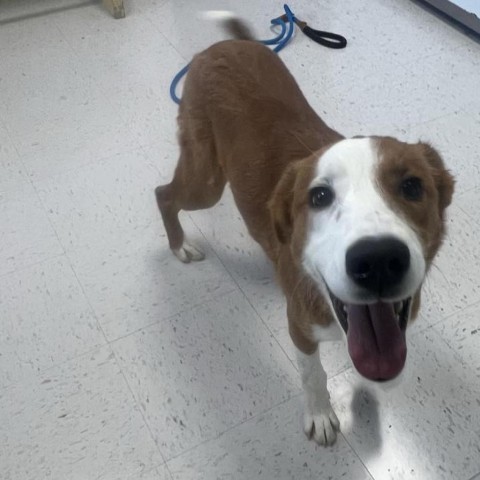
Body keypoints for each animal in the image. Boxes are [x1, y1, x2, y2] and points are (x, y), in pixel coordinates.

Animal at [157, 19, 454, 446]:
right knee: (164, 195)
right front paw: (321, 415)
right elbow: (313, 373)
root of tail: (221, 47)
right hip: (206, 180)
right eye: (319, 196)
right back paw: (179, 246)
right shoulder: (298, 325)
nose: (379, 260)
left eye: (412, 187)